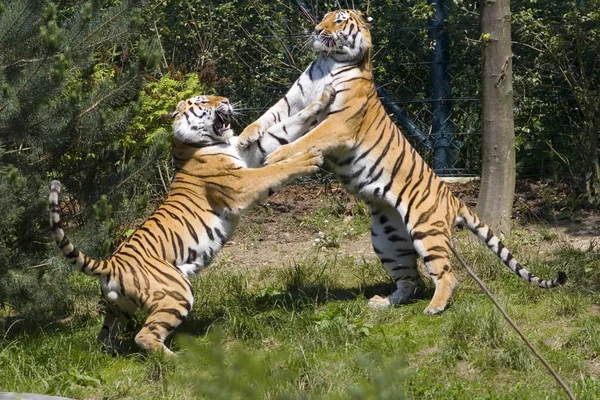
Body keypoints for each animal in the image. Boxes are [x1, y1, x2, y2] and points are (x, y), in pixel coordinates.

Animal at [49, 87, 336, 354]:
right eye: (202, 101)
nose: (226, 100)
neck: (213, 143)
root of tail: (110, 265)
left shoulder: (250, 154)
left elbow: (286, 126)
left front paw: (324, 98)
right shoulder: (240, 185)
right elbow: (275, 170)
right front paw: (310, 158)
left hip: (118, 310)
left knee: (105, 338)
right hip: (176, 292)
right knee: (145, 336)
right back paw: (179, 360)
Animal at [237, 9, 564, 314]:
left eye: (338, 20)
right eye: (324, 17)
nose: (316, 30)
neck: (328, 62)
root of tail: (454, 198)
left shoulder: (339, 123)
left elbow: (306, 138)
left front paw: (277, 154)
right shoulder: (294, 100)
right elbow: (269, 116)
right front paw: (244, 137)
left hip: (426, 229)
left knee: (446, 274)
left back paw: (435, 307)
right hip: (387, 239)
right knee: (411, 280)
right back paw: (384, 302)